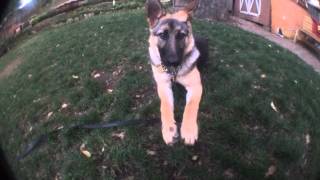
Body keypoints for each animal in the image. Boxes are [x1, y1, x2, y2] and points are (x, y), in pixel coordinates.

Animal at [145, 0, 208, 145]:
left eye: (181, 35)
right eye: (163, 35)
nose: (173, 62)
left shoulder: (196, 86)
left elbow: (191, 106)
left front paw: (189, 130)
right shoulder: (163, 86)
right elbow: (165, 106)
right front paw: (169, 129)